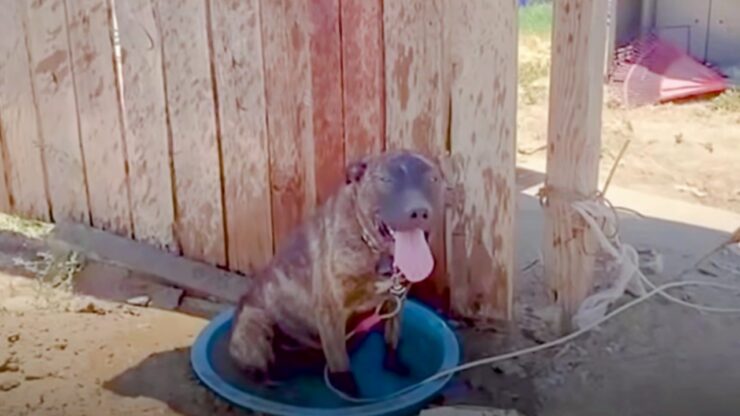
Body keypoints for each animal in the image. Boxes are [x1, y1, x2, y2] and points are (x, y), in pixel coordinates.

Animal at [228, 150, 448, 396]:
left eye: (432, 179)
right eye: (386, 180)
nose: (418, 211)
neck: (375, 250)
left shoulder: (396, 302)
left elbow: (392, 338)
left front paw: (393, 363)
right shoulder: (331, 311)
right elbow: (340, 364)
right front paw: (349, 392)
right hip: (255, 327)